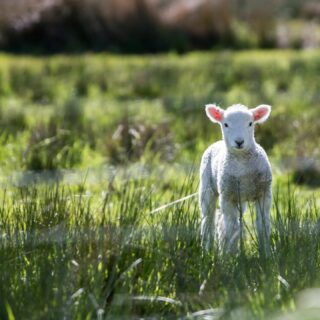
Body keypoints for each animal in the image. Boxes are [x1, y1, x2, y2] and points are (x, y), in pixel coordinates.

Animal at [200, 104, 272, 254]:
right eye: (226, 124)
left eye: (250, 123)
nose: (239, 142)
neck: (241, 164)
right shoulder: (227, 196)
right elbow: (232, 228)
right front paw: (230, 255)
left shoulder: (264, 193)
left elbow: (263, 225)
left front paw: (266, 253)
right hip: (207, 188)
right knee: (208, 221)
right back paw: (207, 250)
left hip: (240, 198)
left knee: (224, 222)